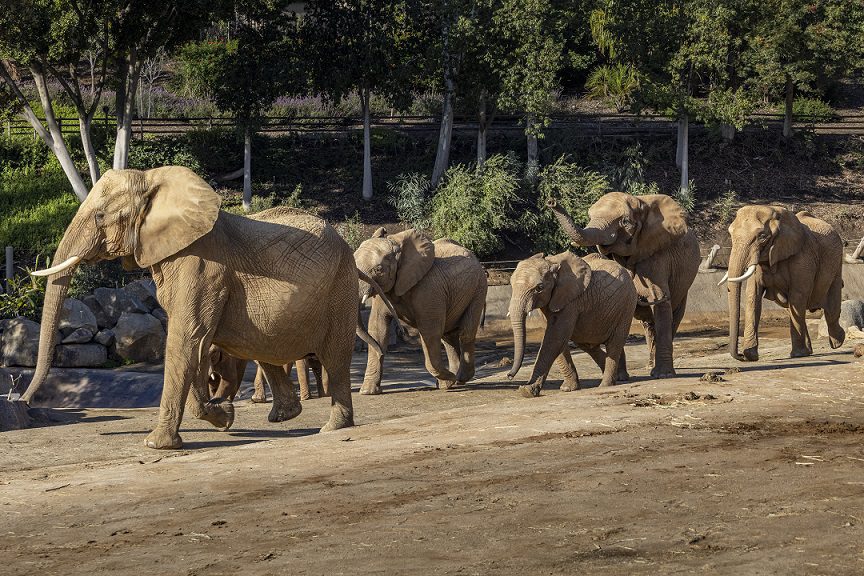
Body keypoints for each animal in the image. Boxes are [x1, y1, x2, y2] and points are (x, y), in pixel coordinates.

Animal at [20, 166, 363, 449]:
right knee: (262, 347)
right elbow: (195, 345)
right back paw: (285, 416)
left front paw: (156, 445)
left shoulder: (201, 266)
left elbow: (187, 338)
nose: (23, 400)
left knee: (334, 355)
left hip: (341, 285)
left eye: (100, 216)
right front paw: (224, 416)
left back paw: (332, 427)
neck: (152, 180)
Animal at [354, 228, 488, 394]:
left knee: (465, 332)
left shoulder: (428, 289)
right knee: (448, 336)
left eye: (378, 269)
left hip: (478, 288)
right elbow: (378, 327)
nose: (402, 331)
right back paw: (456, 380)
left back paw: (460, 378)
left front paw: (447, 382)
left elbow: (429, 331)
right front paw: (367, 392)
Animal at [507, 252, 638, 397]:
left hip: (627, 305)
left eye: (539, 288)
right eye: (511, 285)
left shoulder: (571, 302)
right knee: (587, 344)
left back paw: (606, 385)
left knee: (615, 342)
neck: (551, 263)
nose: (509, 376)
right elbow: (557, 339)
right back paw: (619, 377)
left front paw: (527, 390)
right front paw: (568, 389)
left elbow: (555, 338)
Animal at [548, 192, 700, 378]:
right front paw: (619, 378)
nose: (551, 201)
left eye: (625, 222)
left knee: (673, 315)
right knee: (649, 324)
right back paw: (649, 366)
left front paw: (663, 375)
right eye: (590, 216)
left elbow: (661, 304)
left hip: (685, 284)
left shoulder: (658, 256)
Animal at [720, 205, 845, 360]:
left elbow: (798, 296)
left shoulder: (802, 257)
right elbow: (753, 296)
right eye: (730, 234)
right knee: (791, 307)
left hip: (837, 263)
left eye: (762, 236)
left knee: (831, 305)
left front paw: (797, 355)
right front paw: (750, 356)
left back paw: (838, 342)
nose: (740, 356)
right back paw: (810, 350)